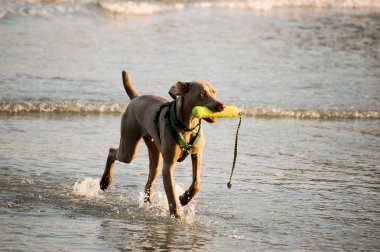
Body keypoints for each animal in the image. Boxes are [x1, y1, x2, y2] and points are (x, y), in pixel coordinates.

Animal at [99, 70, 224, 218]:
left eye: (214, 92)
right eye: (203, 93)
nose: (221, 106)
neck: (187, 125)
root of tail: (136, 98)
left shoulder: (197, 154)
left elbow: (197, 183)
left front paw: (184, 198)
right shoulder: (168, 166)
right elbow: (171, 196)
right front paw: (178, 216)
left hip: (154, 155)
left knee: (149, 182)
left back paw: (148, 204)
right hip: (129, 148)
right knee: (112, 151)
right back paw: (105, 181)